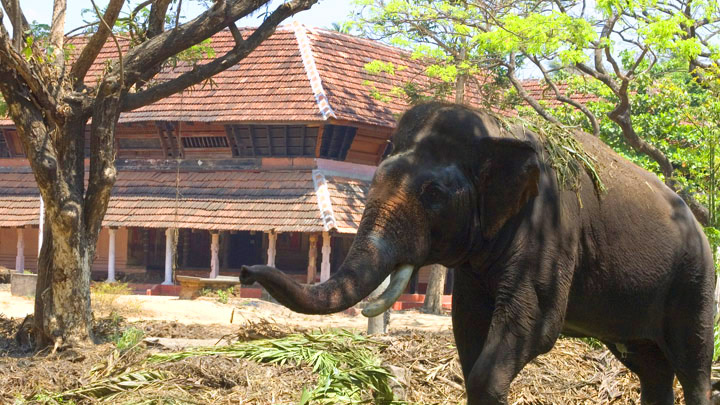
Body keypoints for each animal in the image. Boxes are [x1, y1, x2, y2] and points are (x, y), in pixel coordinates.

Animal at [242, 102, 716, 402]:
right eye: (374, 176)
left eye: (433, 193)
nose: (246, 271)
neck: (499, 129)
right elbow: (468, 324)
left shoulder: (551, 228)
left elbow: (532, 326)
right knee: (651, 368)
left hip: (694, 280)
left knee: (693, 366)